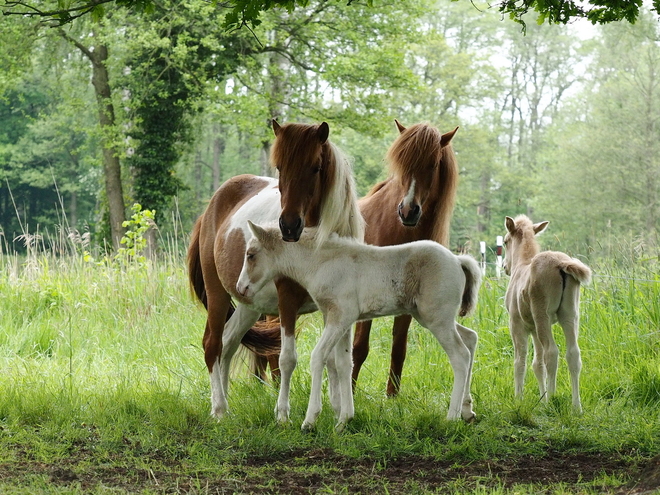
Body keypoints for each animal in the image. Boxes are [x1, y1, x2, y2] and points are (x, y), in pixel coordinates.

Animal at [186, 119, 364, 418]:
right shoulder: (287, 301)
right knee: (212, 344)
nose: (288, 226)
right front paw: (282, 414)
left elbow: (335, 359)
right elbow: (287, 358)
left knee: (228, 342)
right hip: (217, 293)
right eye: (280, 167)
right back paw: (219, 408)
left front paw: (337, 409)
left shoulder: (337, 305)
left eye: (315, 167)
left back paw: (225, 402)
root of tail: (211, 207)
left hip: (249, 302)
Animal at [236, 223, 480, 432]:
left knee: (460, 355)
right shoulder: (341, 319)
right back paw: (467, 411)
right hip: (431, 317)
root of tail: (457, 260)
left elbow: (318, 356)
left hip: (437, 319)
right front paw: (344, 420)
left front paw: (311, 419)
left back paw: (451, 417)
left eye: (251, 255)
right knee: (470, 338)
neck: (322, 263)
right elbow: (344, 363)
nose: (241, 288)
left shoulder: (340, 316)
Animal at [350, 119, 458, 396]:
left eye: (433, 164)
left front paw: (392, 396)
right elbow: (359, 347)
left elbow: (399, 347)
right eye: (401, 162)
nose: (408, 211)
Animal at [506, 215, 592, 412]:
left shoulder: (517, 324)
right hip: (570, 314)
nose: (505, 267)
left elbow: (520, 361)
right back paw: (576, 406)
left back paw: (552, 399)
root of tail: (562, 264)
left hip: (542, 315)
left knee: (552, 352)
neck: (521, 265)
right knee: (573, 353)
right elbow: (537, 364)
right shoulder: (533, 328)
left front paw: (518, 399)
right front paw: (541, 398)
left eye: (505, 241)